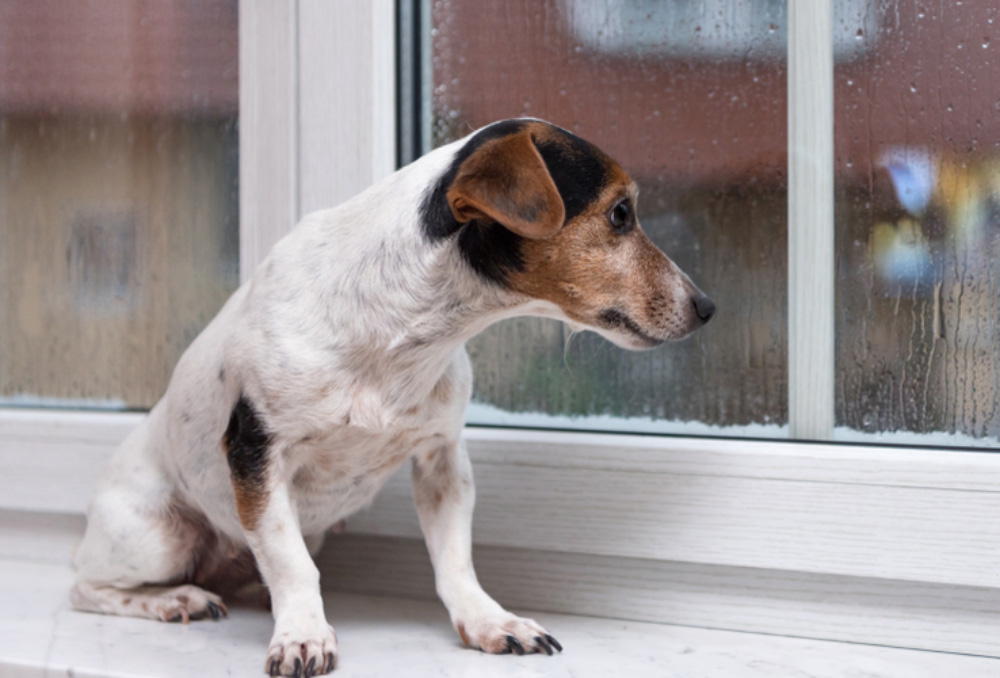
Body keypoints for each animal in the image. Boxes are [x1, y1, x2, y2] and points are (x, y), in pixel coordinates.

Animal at [70, 119, 716, 676]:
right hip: (159, 536)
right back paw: (174, 598)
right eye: (620, 213)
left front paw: (490, 623)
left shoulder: (442, 459)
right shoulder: (257, 454)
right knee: (86, 587)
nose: (708, 307)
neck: (406, 331)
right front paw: (303, 635)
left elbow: (455, 561)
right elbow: (291, 563)